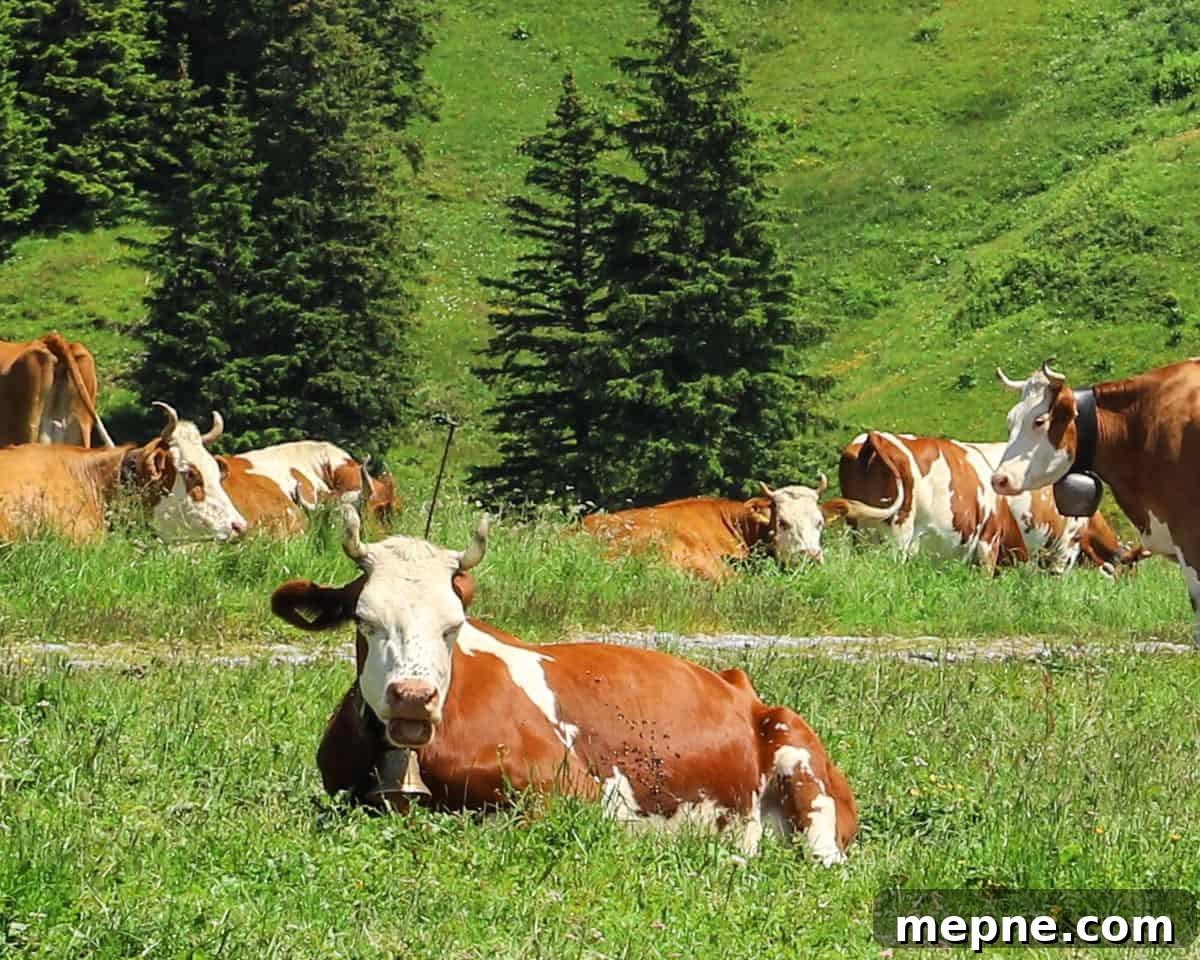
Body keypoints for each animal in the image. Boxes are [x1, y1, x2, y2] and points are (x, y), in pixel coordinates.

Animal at [271, 508, 858, 865]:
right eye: (364, 620)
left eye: (452, 626)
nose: (413, 697)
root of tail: (739, 686)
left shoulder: (570, 793)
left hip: (805, 775)